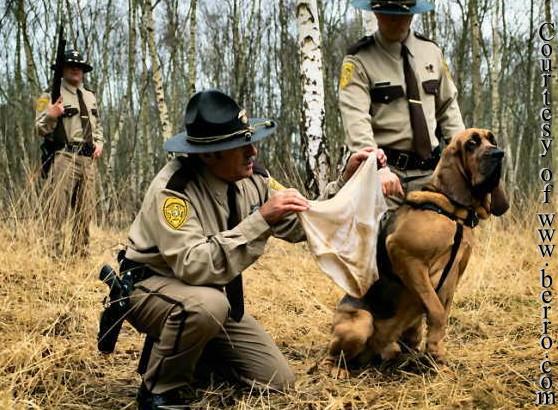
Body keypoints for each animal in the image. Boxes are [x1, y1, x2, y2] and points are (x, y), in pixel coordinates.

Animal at [328, 129, 512, 372]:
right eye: (471, 143)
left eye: (493, 140)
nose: (499, 154)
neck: (453, 213)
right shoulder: (405, 255)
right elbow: (437, 311)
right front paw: (435, 354)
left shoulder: (452, 277)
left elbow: (443, 312)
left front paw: (437, 357)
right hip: (360, 323)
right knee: (333, 356)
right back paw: (338, 369)